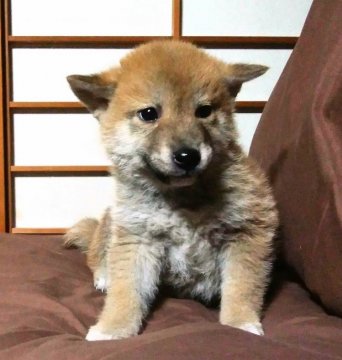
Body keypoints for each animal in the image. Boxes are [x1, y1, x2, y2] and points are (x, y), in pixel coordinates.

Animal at [64, 40, 278, 342]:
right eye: (149, 114)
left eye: (204, 111)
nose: (188, 156)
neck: (183, 200)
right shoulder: (137, 239)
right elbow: (125, 293)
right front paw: (112, 329)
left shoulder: (248, 233)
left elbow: (241, 288)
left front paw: (240, 324)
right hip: (113, 221)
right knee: (97, 254)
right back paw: (104, 274)